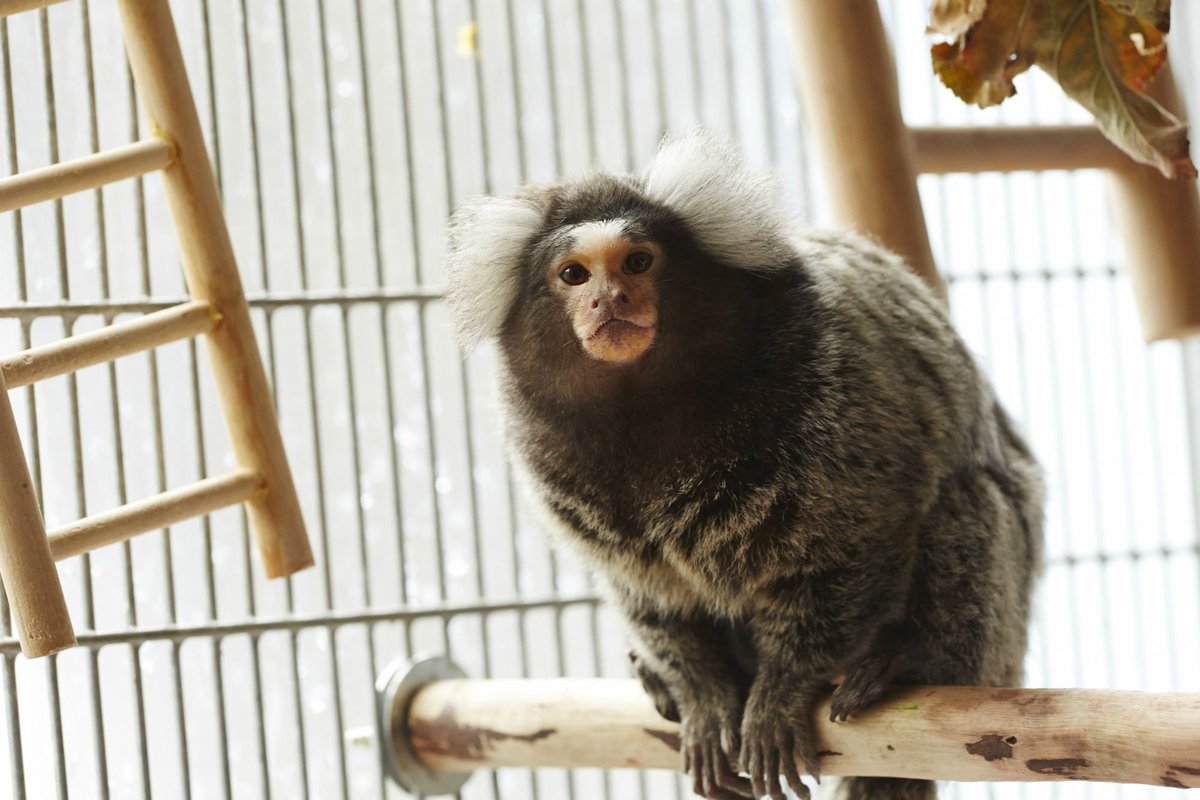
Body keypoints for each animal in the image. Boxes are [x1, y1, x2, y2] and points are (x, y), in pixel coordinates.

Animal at [443, 131, 1043, 800]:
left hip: (1000, 644)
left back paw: (915, 661)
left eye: (638, 262)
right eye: (572, 274)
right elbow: (653, 598)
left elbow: (853, 550)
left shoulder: (839, 400)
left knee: (968, 498)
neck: (645, 406)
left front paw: (782, 689)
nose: (608, 300)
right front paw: (703, 697)